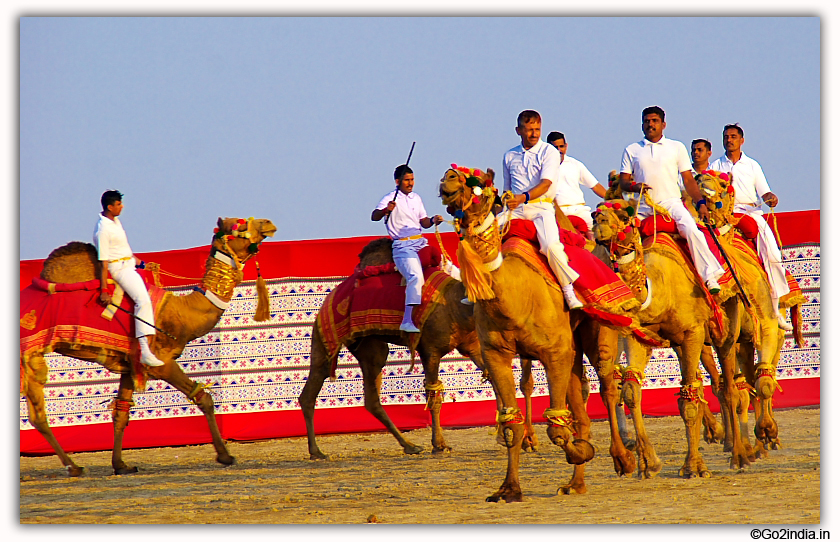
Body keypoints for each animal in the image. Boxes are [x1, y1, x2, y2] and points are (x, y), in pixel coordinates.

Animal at [19, 219, 278, 478]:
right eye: (240, 226)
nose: (269, 224)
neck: (183, 313)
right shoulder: (160, 362)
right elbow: (203, 397)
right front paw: (225, 456)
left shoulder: (129, 365)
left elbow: (121, 412)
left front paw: (120, 465)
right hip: (29, 354)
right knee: (38, 414)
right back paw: (73, 467)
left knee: (36, 414)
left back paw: (73, 466)